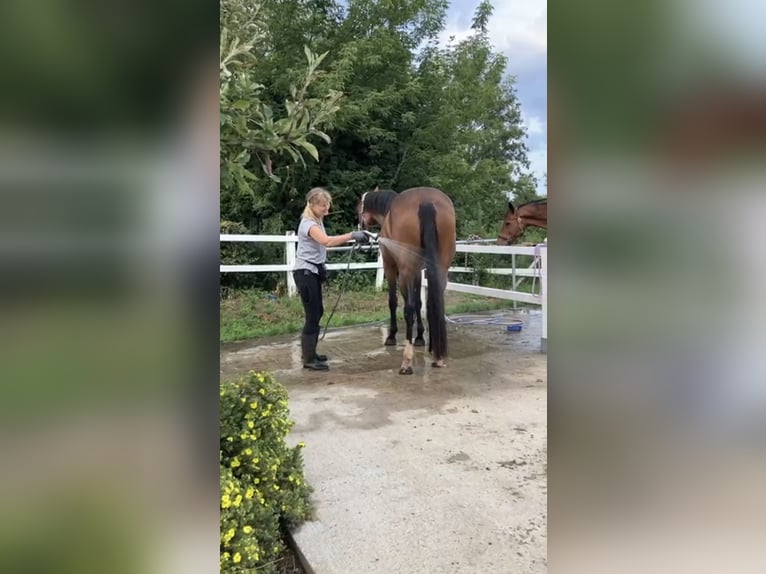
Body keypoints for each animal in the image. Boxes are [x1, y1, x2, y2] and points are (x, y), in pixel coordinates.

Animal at [358, 187, 456, 376]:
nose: (361, 227)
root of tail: (426, 201)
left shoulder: (390, 268)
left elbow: (394, 302)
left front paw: (391, 336)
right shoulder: (417, 271)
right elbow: (419, 303)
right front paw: (420, 337)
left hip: (404, 272)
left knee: (408, 309)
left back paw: (406, 362)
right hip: (440, 268)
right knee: (434, 303)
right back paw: (437, 355)